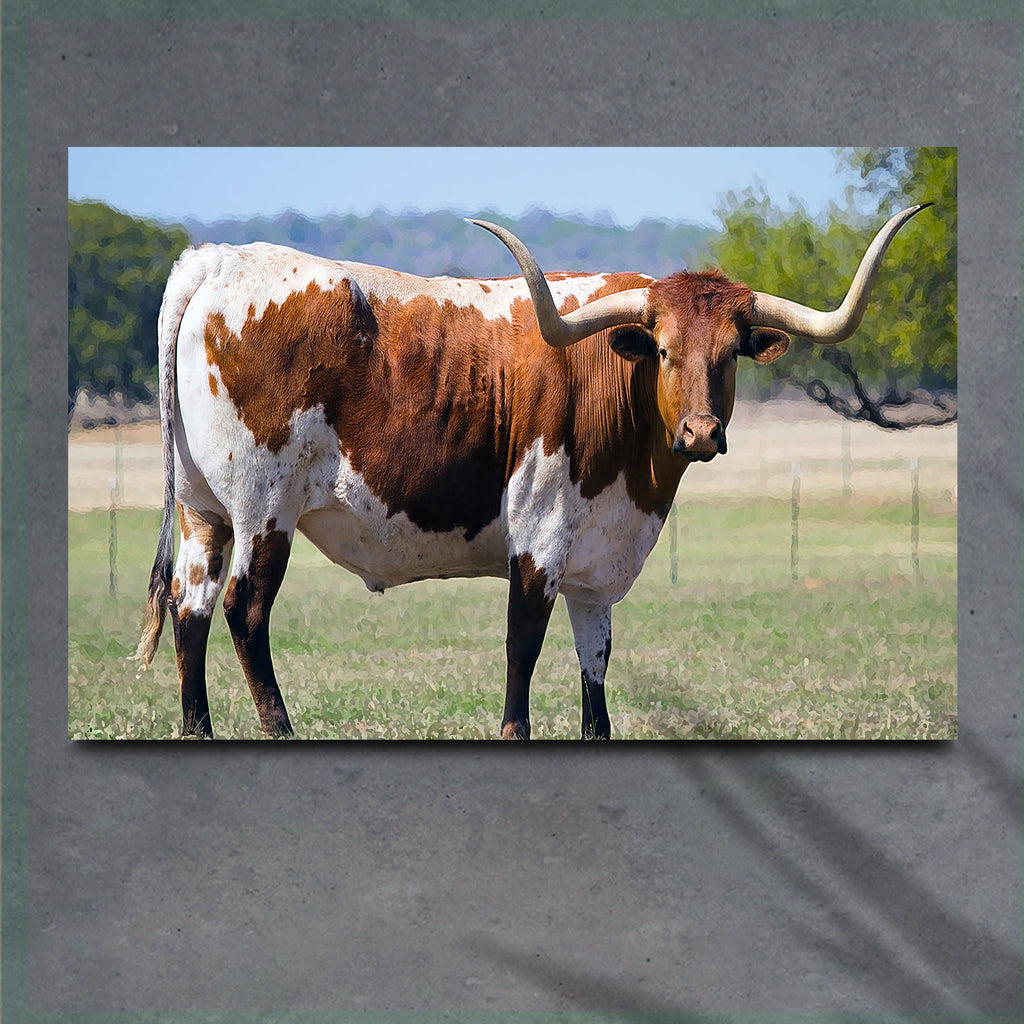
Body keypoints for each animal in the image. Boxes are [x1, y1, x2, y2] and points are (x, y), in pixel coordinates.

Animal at [134, 204, 930, 739]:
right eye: (664, 350)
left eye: (731, 353)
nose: (701, 433)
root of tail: (216, 263)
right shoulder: (538, 540)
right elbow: (522, 651)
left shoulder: (594, 568)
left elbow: (595, 677)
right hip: (263, 508)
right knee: (245, 612)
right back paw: (280, 729)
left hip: (205, 512)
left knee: (190, 608)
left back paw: (197, 731)